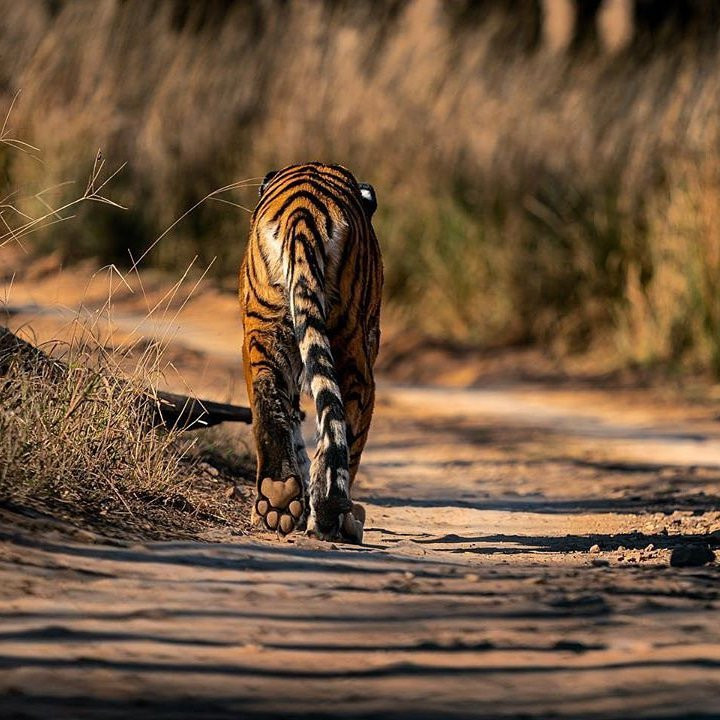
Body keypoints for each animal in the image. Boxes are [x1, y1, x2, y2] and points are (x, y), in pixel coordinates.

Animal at [239, 163, 382, 544]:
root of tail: (303, 211)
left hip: (264, 328)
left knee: (267, 398)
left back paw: (278, 496)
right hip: (352, 348)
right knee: (342, 427)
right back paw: (335, 516)